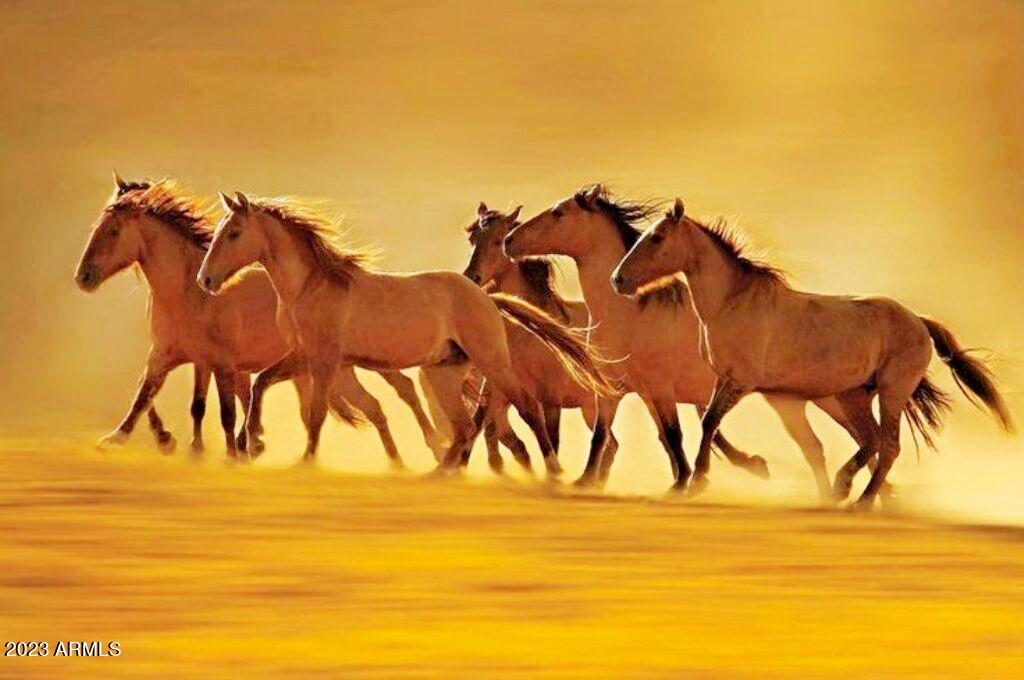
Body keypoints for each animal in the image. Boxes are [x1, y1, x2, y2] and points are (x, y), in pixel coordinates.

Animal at [75, 176, 443, 463]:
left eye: (113, 230)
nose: (83, 277)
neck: (185, 293)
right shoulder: (171, 356)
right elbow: (150, 396)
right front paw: (128, 439)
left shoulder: (221, 362)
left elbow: (225, 410)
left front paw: (233, 452)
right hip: (340, 370)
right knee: (373, 406)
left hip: (359, 365)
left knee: (400, 391)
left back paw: (432, 447)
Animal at [196, 192, 615, 475]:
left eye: (234, 233)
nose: (206, 280)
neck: (310, 286)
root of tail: (486, 297)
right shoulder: (304, 355)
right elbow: (261, 384)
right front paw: (254, 440)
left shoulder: (326, 360)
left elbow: (315, 413)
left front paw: (305, 460)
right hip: (445, 373)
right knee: (464, 426)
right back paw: (439, 472)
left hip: (492, 363)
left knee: (526, 409)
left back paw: (553, 472)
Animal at [503, 184, 777, 493]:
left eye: (559, 212)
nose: (509, 241)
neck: (627, 314)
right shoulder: (614, 390)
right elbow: (602, 436)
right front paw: (584, 480)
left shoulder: (660, 388)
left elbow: (672, 434)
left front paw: (682, 483)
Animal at [612, 197, 1013, 507]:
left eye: (657, 237)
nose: (619, 279)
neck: (731, 303)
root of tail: (918, 320)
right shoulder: (731, 381)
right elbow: (713, 423)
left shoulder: (739, 382)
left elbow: (710, 421)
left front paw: (698, 481)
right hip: (853, 395)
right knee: (871, 440)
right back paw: (843, 490)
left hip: (892, 391)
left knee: (888, 445)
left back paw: (858, 498)